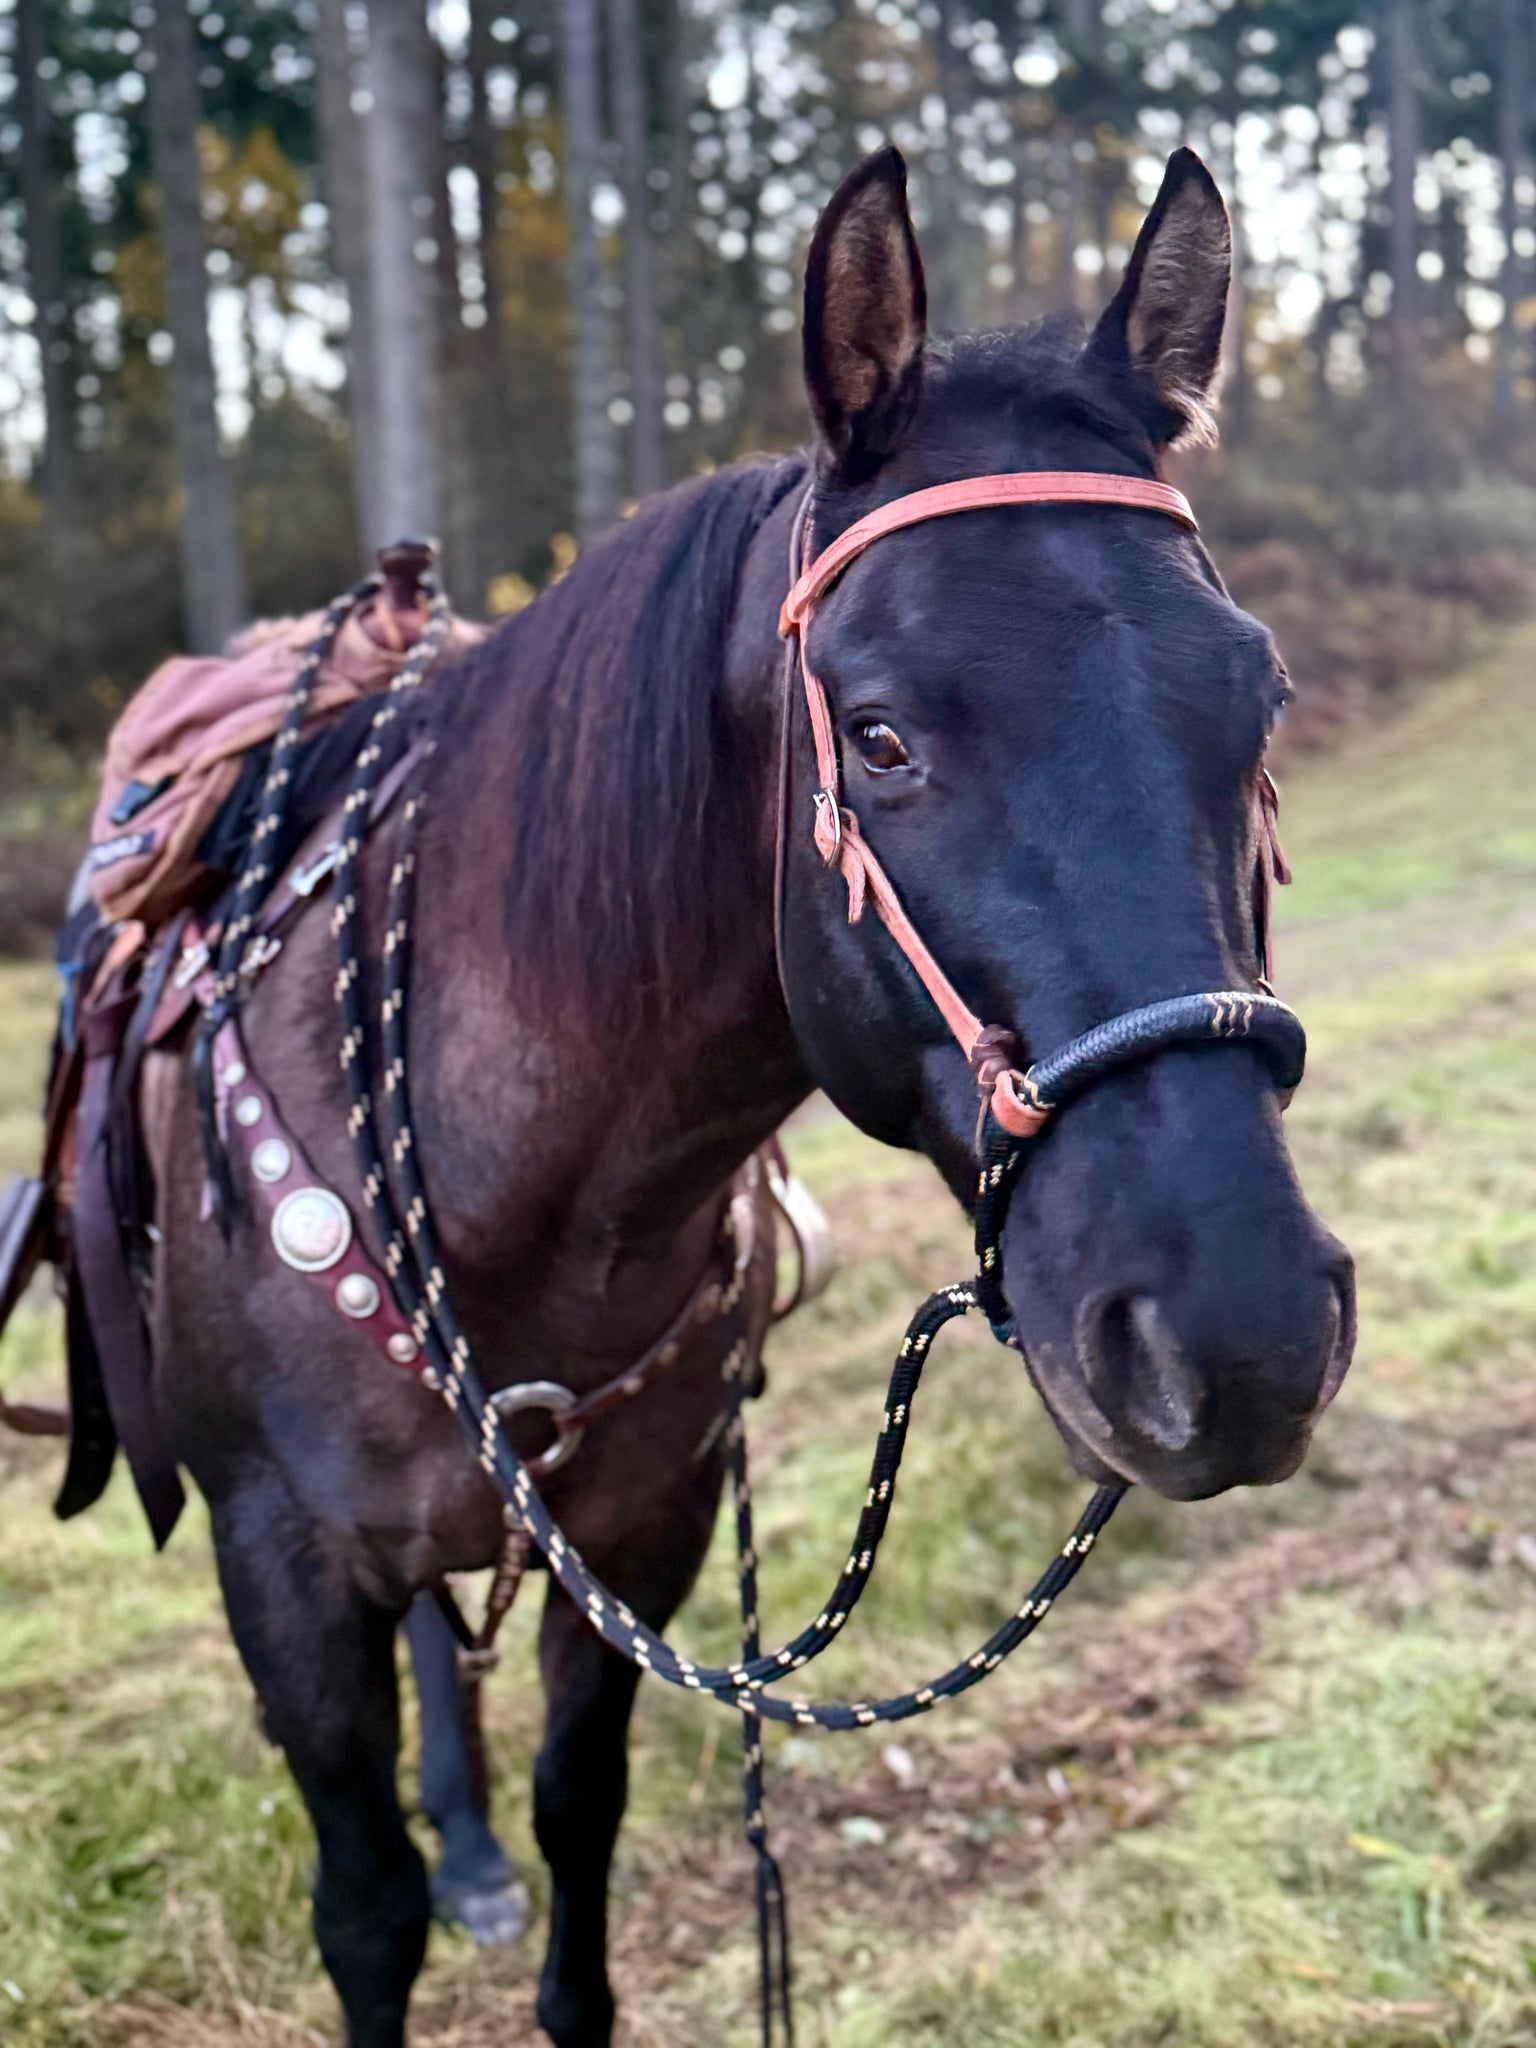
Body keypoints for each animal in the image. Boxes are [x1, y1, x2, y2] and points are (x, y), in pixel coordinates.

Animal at [137, 142, 1355, 2046]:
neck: (507, 1189)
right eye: (880, 736)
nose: (1236, 1336)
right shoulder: (279, 1572)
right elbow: (363, 1912)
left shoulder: (641, 1533)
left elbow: (582, 1825)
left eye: (1263, 698)